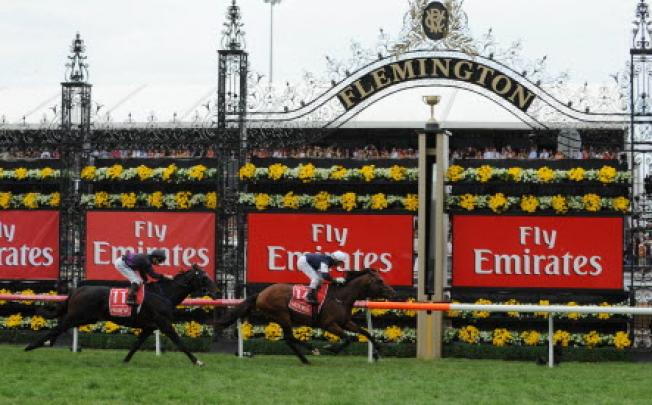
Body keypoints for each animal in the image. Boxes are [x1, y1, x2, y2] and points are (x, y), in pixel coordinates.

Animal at [24, 264, 218, 364]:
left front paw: (125, 360)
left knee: (60, 327)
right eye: (204, 277)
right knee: (56, 328)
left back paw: (47, 343)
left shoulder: (149, 326)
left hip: (85, 317)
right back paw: (31, 346)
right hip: (77, 316)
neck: (164, 293)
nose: (217, 291)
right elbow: (179, 342)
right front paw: (197, 361)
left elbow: (136, 344)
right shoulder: (164, 323)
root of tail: (76, 290)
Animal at [216, 268, 394, 362]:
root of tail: (261, 294)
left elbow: (365, 332)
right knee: (290, 337)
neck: (340, 297)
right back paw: (311, 350)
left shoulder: (345, 322)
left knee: (289, 339)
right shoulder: (328, 324)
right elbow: (348, 338)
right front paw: (331, 348)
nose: (393, 292)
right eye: (380, 281)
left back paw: (305, 358)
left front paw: (379, 350)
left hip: (281, 317)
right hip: (283, 315)